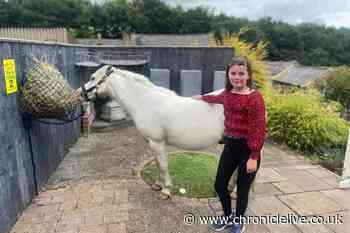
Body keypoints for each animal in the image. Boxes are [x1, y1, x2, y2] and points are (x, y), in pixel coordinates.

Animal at [87, 65, 226, 198]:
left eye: (93, 78)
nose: (82, 93)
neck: (145, 102)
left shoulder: (156, 142)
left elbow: (163, 165)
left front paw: (166, 190)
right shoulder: (152, 142)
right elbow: (158, 164)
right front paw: (158, 185)